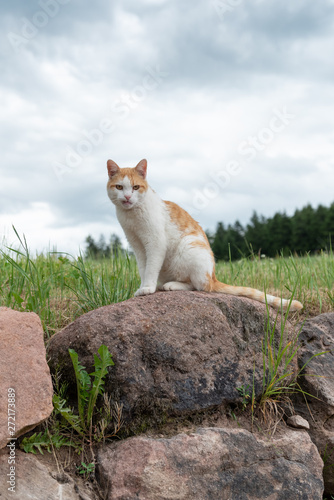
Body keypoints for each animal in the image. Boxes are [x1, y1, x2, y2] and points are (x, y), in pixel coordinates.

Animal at [106, 158, 302, 310]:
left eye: (135, 187)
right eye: (119, 187)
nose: (127, 197)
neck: (132, 216)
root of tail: (213, 277)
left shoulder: (155, 242)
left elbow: (151, 268)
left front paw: (148, 287)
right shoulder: (137, 245)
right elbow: (143, 268)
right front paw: (144, 286)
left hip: (189, 248)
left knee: (198, 286)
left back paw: (172, 285)